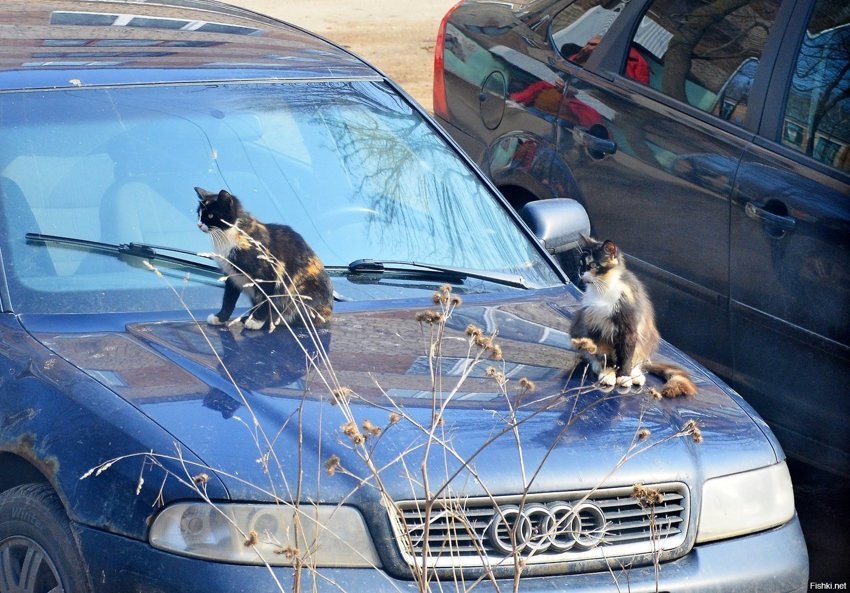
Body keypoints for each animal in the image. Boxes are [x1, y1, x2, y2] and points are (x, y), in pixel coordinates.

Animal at [195, 187, 333, 331]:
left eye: (211, 215)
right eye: (199, 214)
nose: (199, 224)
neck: (230, 234)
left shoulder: (269, 274)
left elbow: (267, 299)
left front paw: (256, 321)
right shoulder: (231, 276)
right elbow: (228, 300)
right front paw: (220, 318)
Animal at [570, 236, 696, 398]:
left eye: (593, 264)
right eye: (580, 263)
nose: (581, 273)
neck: (603, 289)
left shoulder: (629, 329)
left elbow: (627, 356)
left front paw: (624, 376)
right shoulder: (596, 326)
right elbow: (604, 355)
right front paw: (608, 374)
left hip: (648, 337)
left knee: (637, 361)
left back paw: (635, 376)